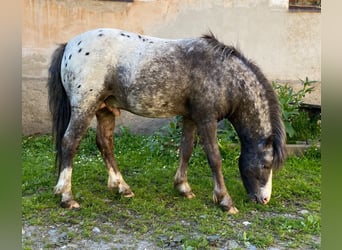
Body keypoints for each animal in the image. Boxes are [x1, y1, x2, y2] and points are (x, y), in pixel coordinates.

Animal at [46, 28, 284, 214]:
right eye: (266, 164)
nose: (264, 199)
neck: (224, 75)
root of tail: (69, 45)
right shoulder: (206, 120)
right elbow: (214, 158)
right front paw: (225, 201)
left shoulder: (190, 118)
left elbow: (186, 150)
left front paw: (183, 188)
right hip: (84, 108)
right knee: (70, 143)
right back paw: (67, 196)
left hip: (105, 110)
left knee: (105, 143)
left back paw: (122, 187)